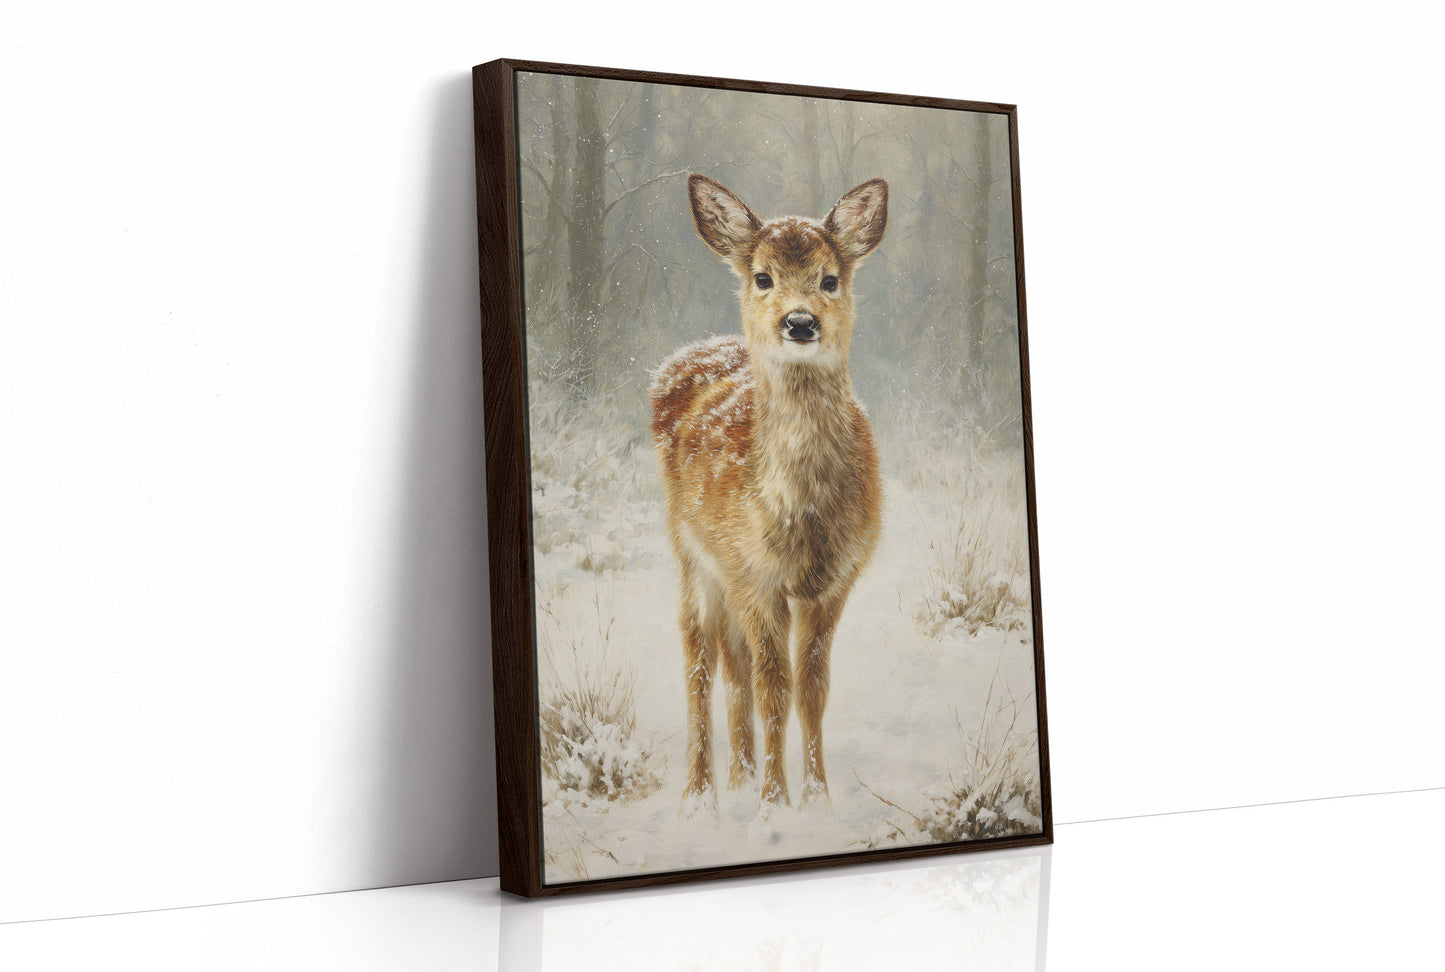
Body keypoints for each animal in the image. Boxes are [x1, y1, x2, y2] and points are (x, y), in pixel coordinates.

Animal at [649, 174, 887, 816]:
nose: (800, 323)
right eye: (762, 277)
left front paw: (816, 799)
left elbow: (811, 688)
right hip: (692, 556)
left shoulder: (834, 580)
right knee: (700, 660)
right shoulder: (755, 575)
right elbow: (773, 687)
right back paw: (700, 795)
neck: (798, 513)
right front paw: (774, 804)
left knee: (733, 667)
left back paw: (738, 777)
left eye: (830, 278)